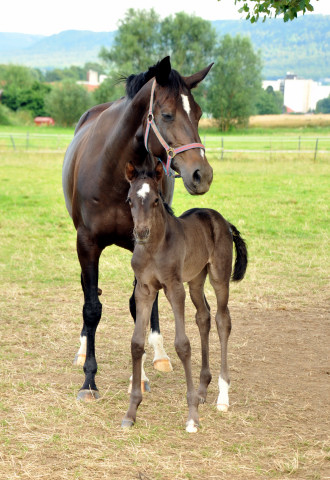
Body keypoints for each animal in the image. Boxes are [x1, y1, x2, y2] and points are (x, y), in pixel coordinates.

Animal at [123, 162, 248, 436]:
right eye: (129, 200)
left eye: (156, 200)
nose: (141, 232)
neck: (154, 247)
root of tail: (223, 220)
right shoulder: (145, 290)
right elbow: (137, 343)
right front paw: (131, 412)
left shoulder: (174, 288)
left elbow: (182, 345)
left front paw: (192, 417)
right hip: (196, 280)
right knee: (204, 316)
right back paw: (202, 389)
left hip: (218, 276)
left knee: (222, 320)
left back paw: (222, 395)